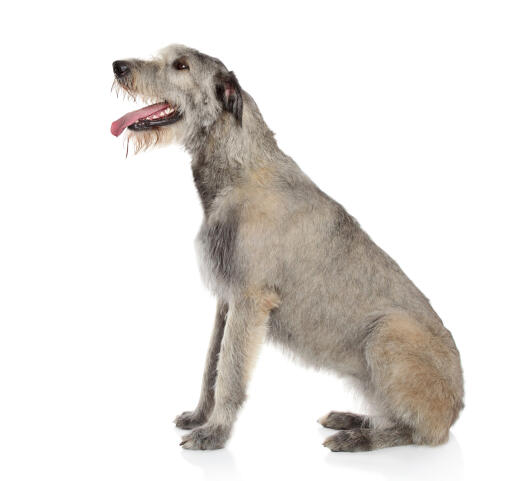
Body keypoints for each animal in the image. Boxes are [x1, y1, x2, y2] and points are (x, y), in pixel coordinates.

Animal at [111, 44, 464, 450]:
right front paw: (200, 416)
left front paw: (215, 433)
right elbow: (211, 364)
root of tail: (458, 405)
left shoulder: (250, 300)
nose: (118, 66)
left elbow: (229, 371)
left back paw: (360, 438)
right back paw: (352, 419)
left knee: (422, 432)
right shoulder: (226, 301)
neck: (241, 170)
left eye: (181, 65)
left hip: (389, 333)